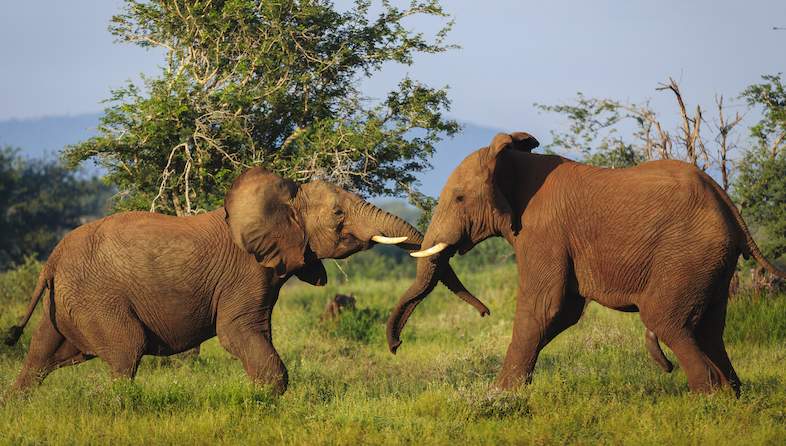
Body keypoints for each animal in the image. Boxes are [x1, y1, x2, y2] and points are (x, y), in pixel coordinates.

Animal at [4, 166, 489, 394]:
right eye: (338, 214)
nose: (396, 345)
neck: (283, 198)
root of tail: (52, 260)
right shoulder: (246, 272)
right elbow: (239, 332)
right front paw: (269, 400)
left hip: (69, 299)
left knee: (39, 356)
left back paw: (19, 403)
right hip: (97, 297)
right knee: (125, 353)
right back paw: (119, 407)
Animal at [386, 132, 786, 395]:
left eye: (458, 198)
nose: (396, 346)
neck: (513, 161)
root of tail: (727, 203)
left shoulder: (543, 232)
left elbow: (543, 308)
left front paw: (499, 395)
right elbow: (563, 312)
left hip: (687, 253)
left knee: (667, 320)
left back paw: (708, 399)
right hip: (712, 262)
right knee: (709, 328)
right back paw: (732, 396)